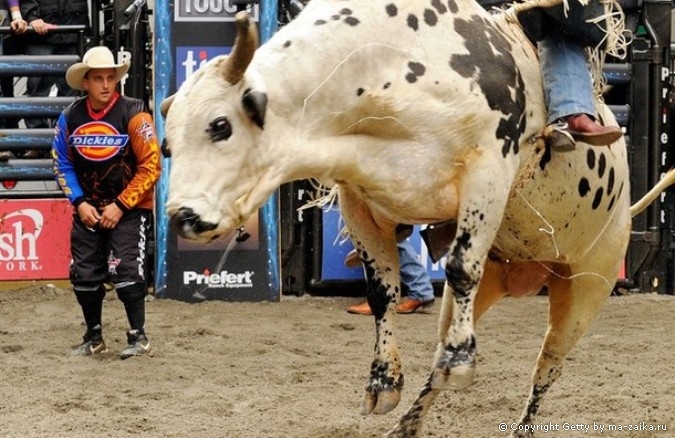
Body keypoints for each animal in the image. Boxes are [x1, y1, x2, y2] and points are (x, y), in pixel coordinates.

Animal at [160, 1, 675, 436]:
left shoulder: (488, 168)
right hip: (500, 280)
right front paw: (383, 383)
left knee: (545, 369)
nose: (182, 216)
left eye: (220, 125)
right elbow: (382, 291)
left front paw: (461, 359)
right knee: (442, 356)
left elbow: (460, 266)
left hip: (589, 286)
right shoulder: (359, 198)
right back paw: (407, 423)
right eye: (167, 145)